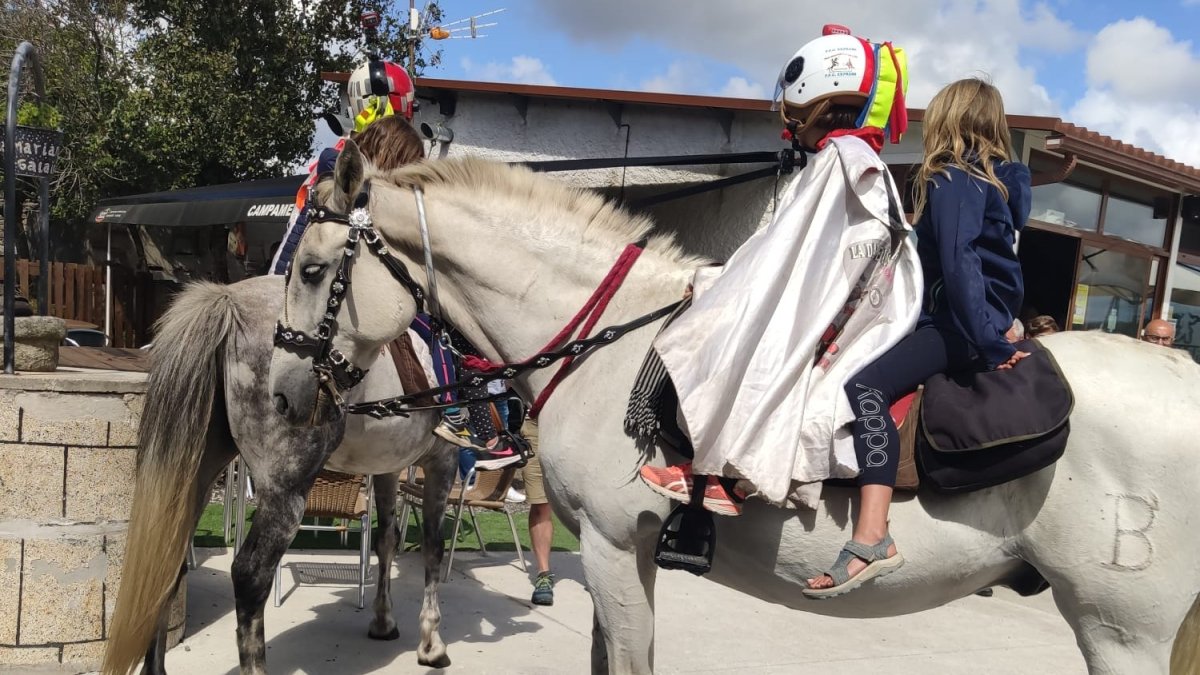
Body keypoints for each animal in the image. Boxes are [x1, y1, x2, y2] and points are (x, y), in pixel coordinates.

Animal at [267, 144, 1200, 667]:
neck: (606, 337)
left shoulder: (611, 547)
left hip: (1120, 628)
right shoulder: (624, 552)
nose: (279, 391)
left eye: (311, 269)